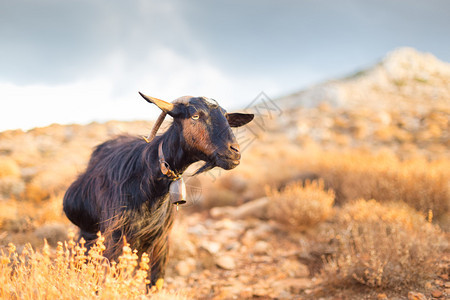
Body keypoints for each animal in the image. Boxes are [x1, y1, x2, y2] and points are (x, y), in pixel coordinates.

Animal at [62, 93, 253, 288]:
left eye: (226, 117)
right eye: (195, 116)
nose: (234, 152)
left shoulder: (160, 242)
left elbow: (155, 283)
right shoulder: (114, 238)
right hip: (88, 234)